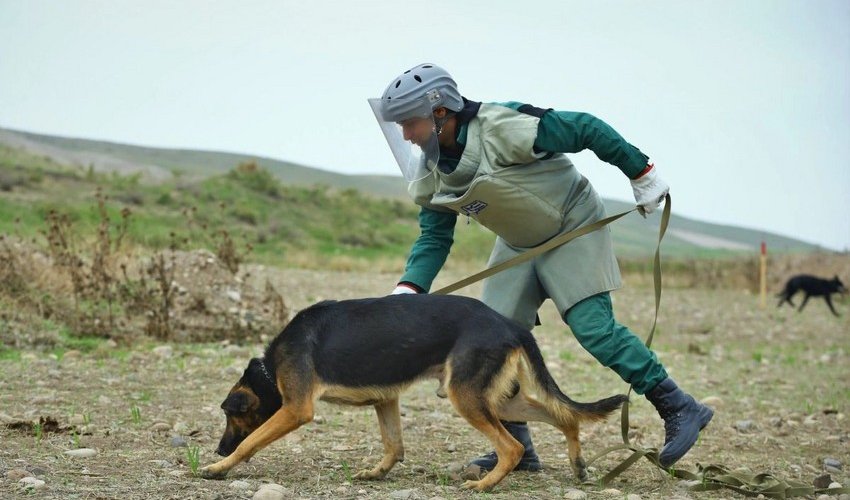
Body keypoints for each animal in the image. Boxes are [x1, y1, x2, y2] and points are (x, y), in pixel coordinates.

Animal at [202, 294, 628, 490]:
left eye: (229, 414)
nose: (218, 449)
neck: (270, 368)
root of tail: (509, 325)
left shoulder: (296, 409)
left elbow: (251, 441)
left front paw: (220, 468)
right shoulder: (385, 400)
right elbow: (394, 445)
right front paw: (377, 473)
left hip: (466, 396)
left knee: (512, 447)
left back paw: (485, 486)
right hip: (503, 400)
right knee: (564, 415)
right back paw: (577, 463)